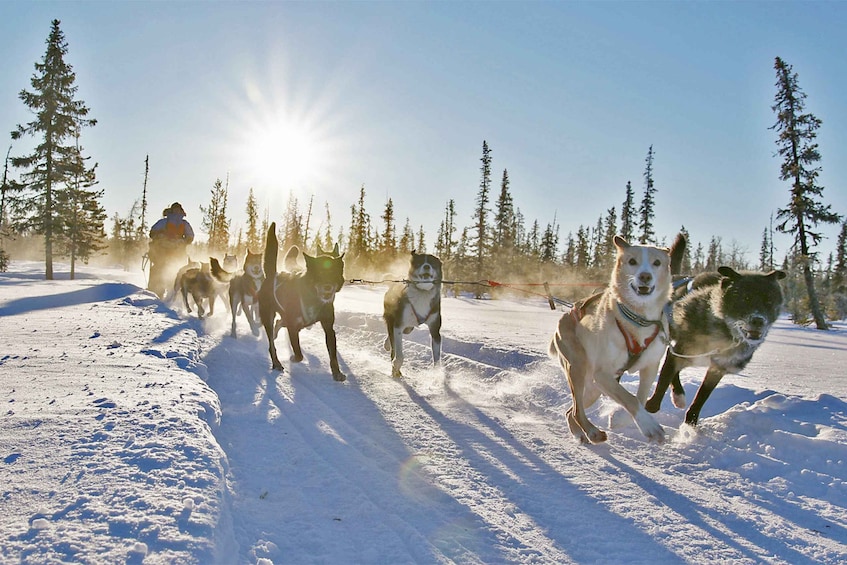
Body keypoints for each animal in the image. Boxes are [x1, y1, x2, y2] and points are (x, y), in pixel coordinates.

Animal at [548, 236, 684, 442]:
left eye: (657, 263)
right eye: (632, 261)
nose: (645, 276)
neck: (638, 319)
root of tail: (566, 314)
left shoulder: (650, 368)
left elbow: (640, 398)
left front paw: (620, 418)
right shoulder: (602, 374)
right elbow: (630, 398)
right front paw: (649, 426)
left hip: (594, 389)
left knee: (571, 411)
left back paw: (580, 432)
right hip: (578, 367)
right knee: (577, 410)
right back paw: (592, 431)